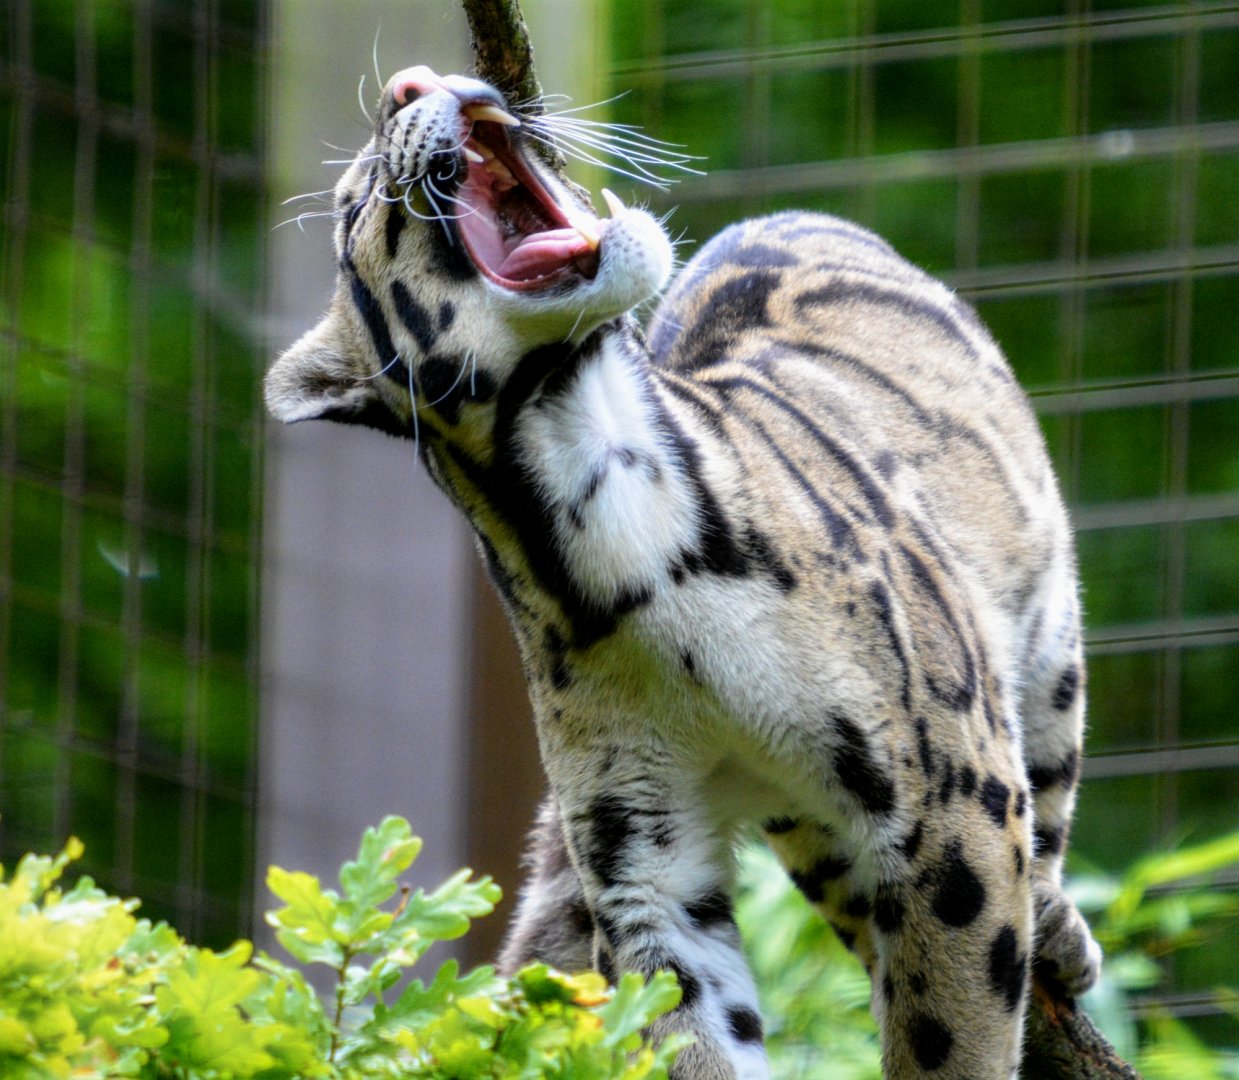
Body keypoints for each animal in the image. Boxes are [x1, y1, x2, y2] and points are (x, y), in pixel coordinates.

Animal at [265, 65, 1103, 1079]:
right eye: (357, 202)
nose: (413, 80)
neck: (593, 499)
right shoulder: (643, 857)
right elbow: (686, 1026)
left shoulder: (948, 784)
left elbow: (952, 1023)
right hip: (813, 833)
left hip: (1047, 651)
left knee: (1043, 796)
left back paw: (1056, 923)